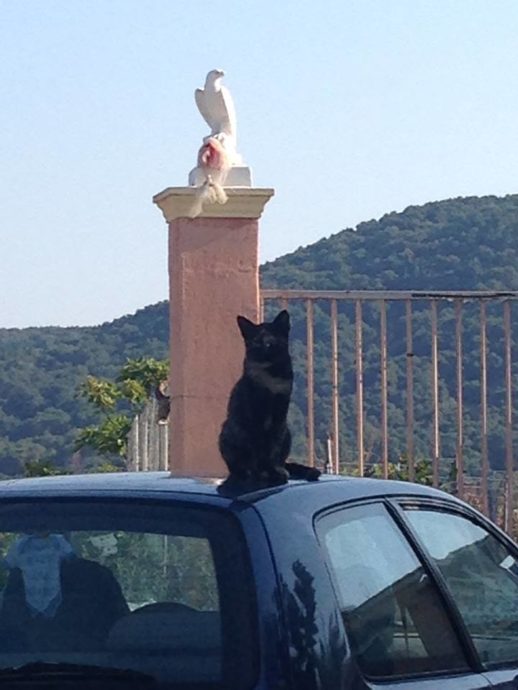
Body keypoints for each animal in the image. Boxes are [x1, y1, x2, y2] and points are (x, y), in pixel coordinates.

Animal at [218, 310, 320, 482]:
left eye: (272, 340)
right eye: (256, 341)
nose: (265, 345)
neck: (270, 376)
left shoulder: (280, 411)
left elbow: (274, 447)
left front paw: (274, 470)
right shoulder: (253, 413)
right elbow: (255, 446)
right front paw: (259, 473)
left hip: (287, 432)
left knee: (283, 460)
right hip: (228, 430)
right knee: (238, 464)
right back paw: (246, 471)